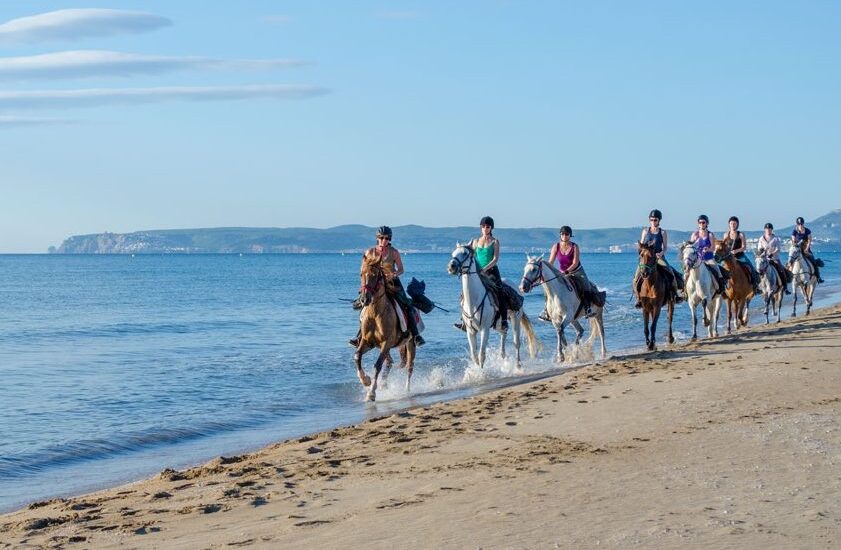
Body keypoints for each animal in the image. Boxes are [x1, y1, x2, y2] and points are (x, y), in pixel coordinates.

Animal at [352, 256, 416, 404]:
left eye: (375, 275)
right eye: (361, 274)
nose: (364, 299)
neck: (375, 313)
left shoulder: (386, 342)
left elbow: (377, 365)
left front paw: (371, 393)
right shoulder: (366, 342)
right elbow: (357, 356)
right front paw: (366, 380)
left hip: (410, 344)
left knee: (409, 367)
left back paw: (406, 390)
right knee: (390, 362)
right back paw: (384, 384)